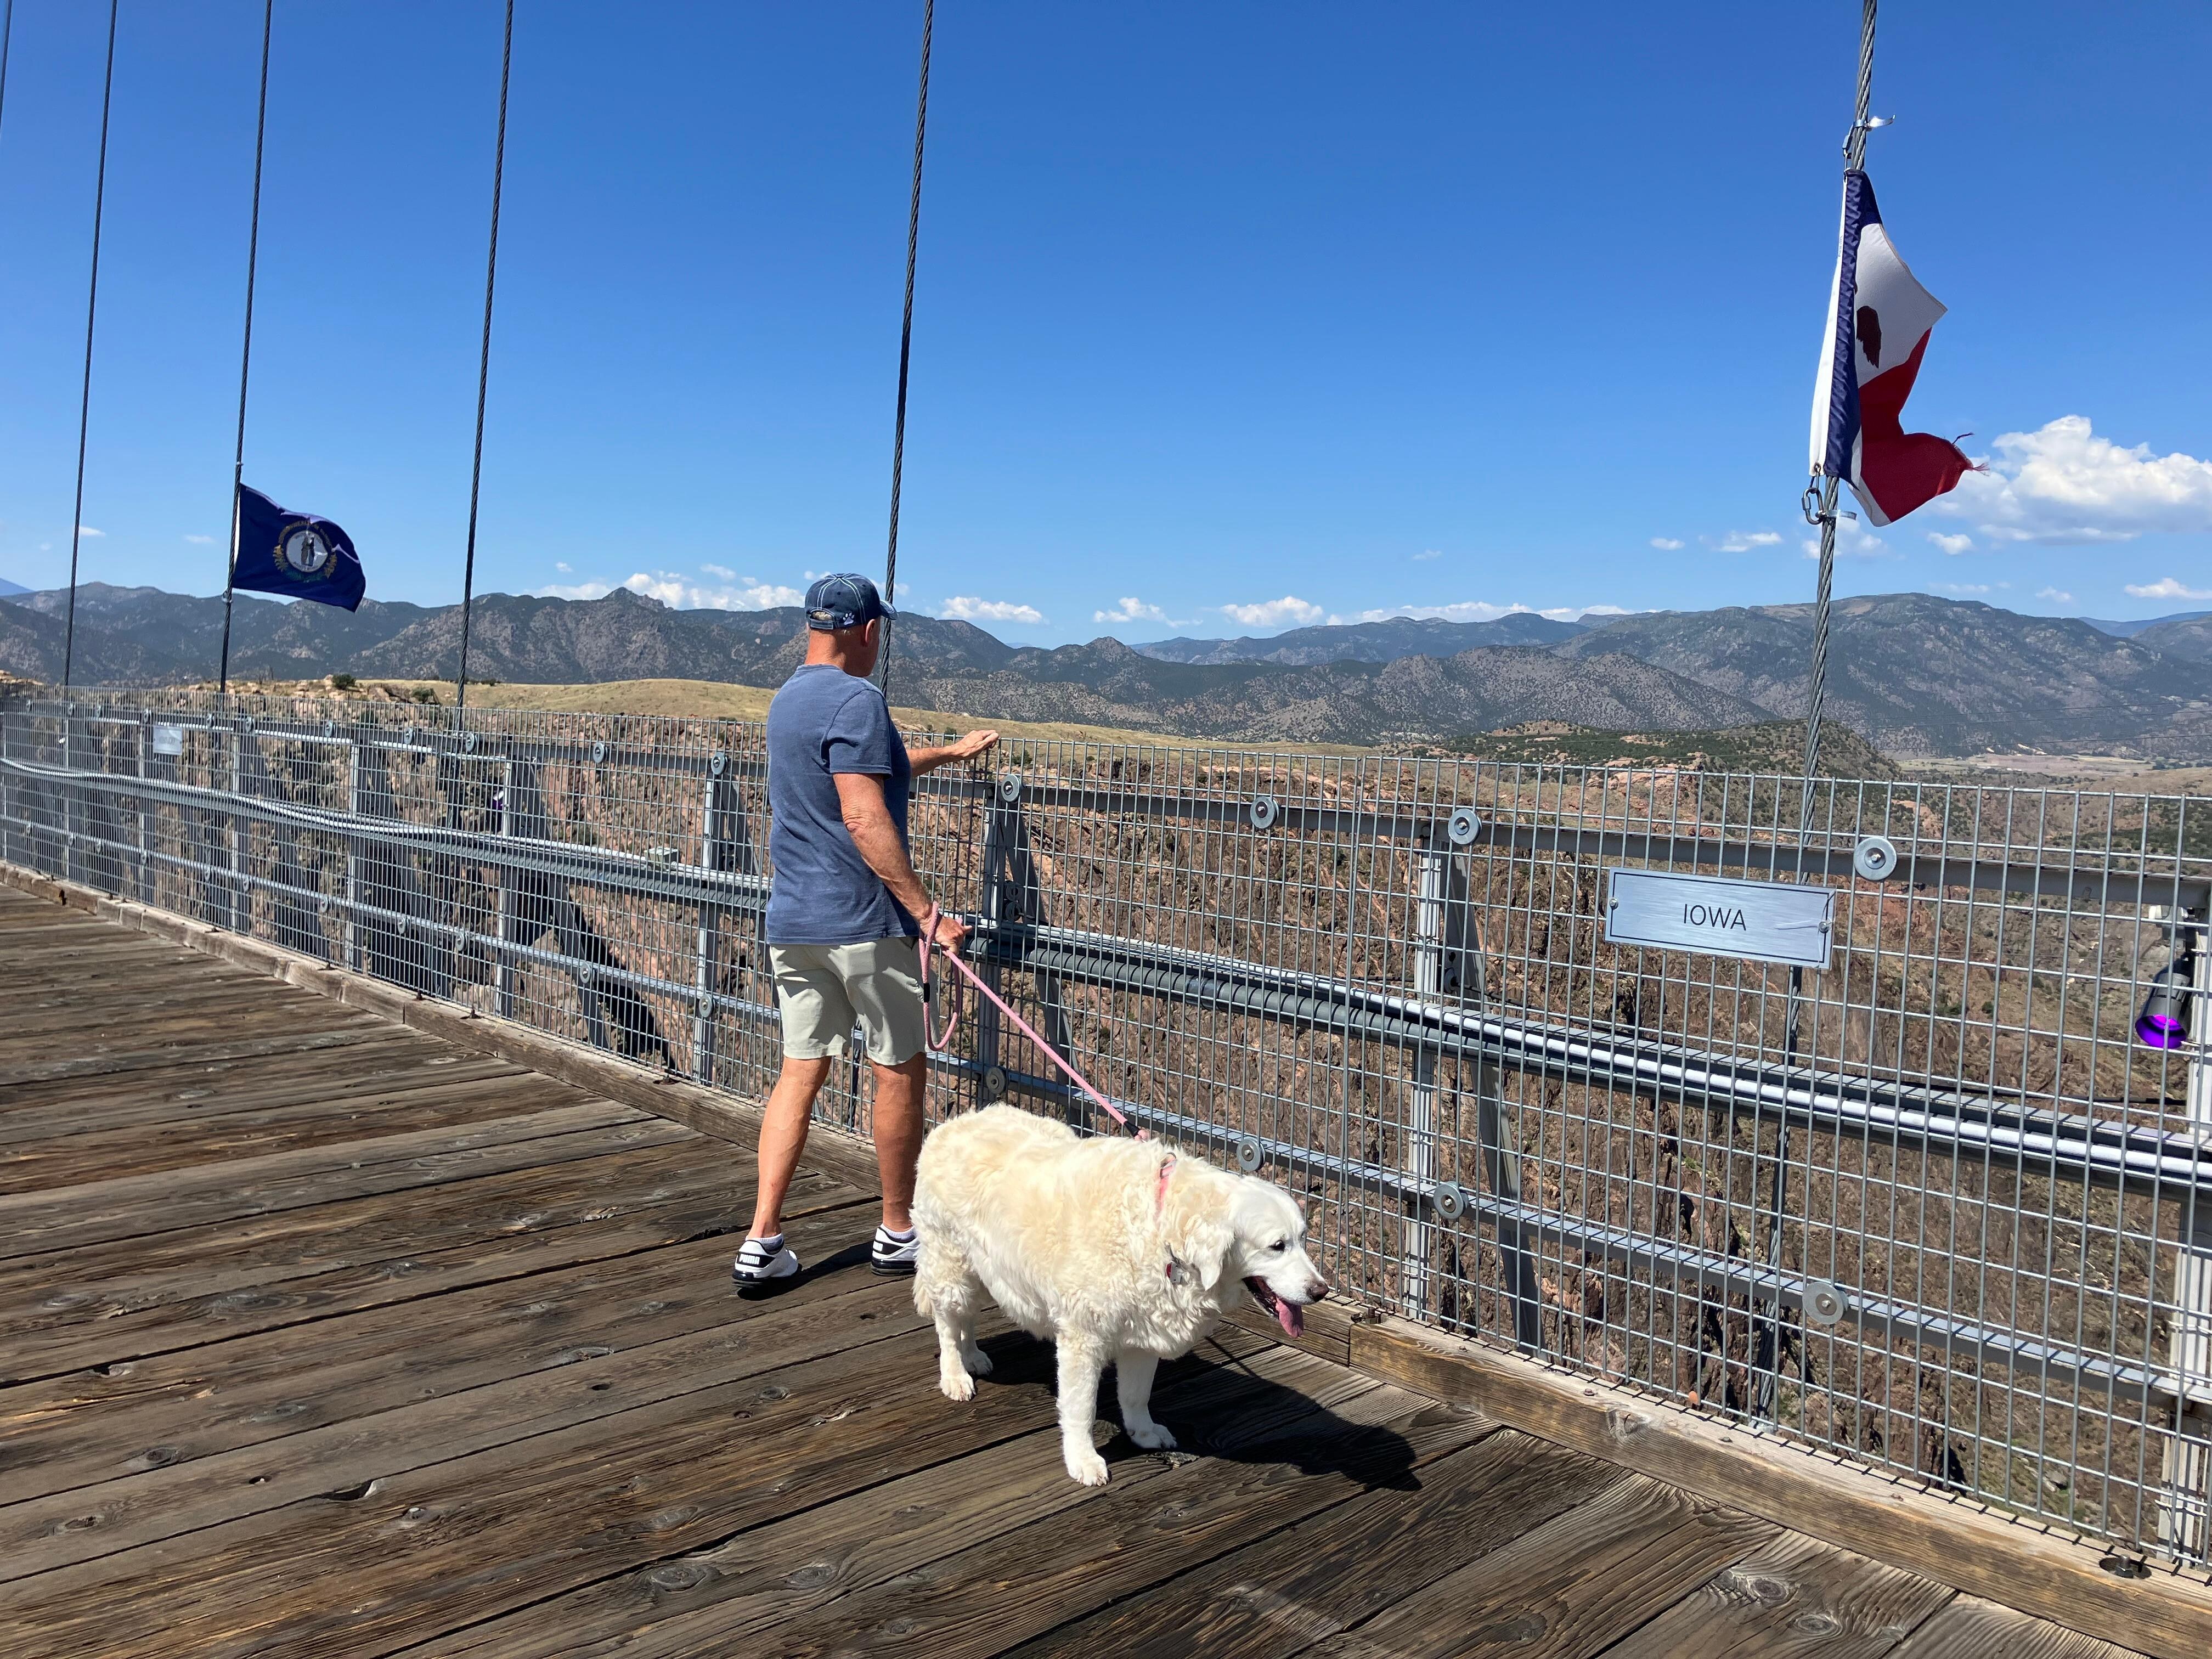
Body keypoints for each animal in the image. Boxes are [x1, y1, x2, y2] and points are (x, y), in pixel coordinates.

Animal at [912, 1104, 1330, 1486]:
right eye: (1277, 1246)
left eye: (1303, 1239)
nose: (1321, 1290)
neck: (1163, 1229)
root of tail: (954, 1123)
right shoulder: (1083, 1339)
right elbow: (1081, 1407)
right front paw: (1083, 1461)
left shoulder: (1145, 1333)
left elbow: (1136, 1395)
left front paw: (1144, 1434)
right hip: (951, 1268)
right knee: (947, 1325)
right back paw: (956, 1375)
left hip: (983, 1273)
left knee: (966, 1319)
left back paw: (973, 1356)